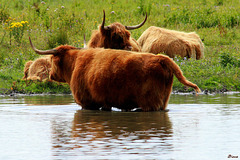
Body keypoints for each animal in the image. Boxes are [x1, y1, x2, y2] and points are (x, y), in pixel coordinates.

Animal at [29, 37, 201, 112]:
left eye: (52, 60)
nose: (51, 75)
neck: (74, 64)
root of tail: (160, 58)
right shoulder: (106, 103)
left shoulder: (87, 103)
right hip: (163, 102)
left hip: (150, 104)